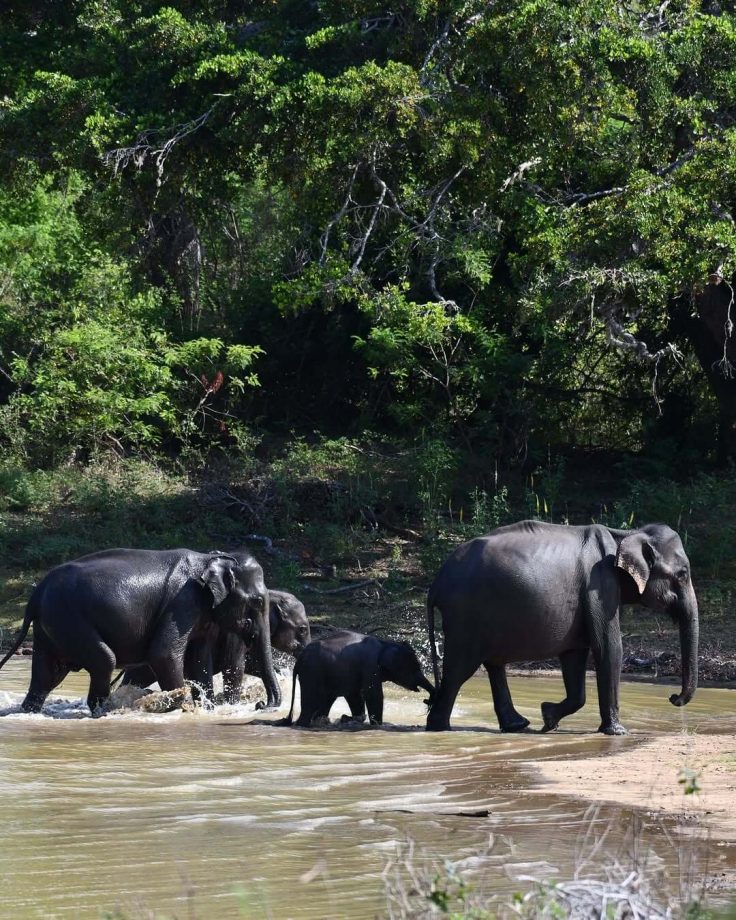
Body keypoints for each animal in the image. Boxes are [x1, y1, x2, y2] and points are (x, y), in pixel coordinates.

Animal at [0, 548, 276, 716]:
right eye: (258, 601)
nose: (261, 704)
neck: (211, 557)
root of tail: (36, 593)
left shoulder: (202, 613)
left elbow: (200, 659)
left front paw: (204, 709)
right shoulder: (183, 603)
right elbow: (164, 654)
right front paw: (185, 708)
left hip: (51, 626)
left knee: (47, 674)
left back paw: (30, 711)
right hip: (67, 618)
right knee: (104, 660)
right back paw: (106, 711)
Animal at [278, 628, 434, 728]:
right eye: (415, 668)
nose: (427, 700)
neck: (385, 643)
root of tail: (299, 659)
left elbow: (355, 696)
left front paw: (354, 718)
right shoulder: (370, 667)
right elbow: (373, 695)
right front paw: (377, 725)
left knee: (324, 702)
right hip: (312, 673)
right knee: (311, 703)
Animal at [422, 520, 700, 736]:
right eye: (683, 574)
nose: (673, 698)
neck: (626, 533)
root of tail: (436, 583)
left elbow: (574, 656)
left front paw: (548, 718)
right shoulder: (600, 585)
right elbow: (608, 648)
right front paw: (618, 732)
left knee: (493, 665)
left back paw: (517, 725)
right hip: (465, 615)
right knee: (459, 669)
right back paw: (439, 728)